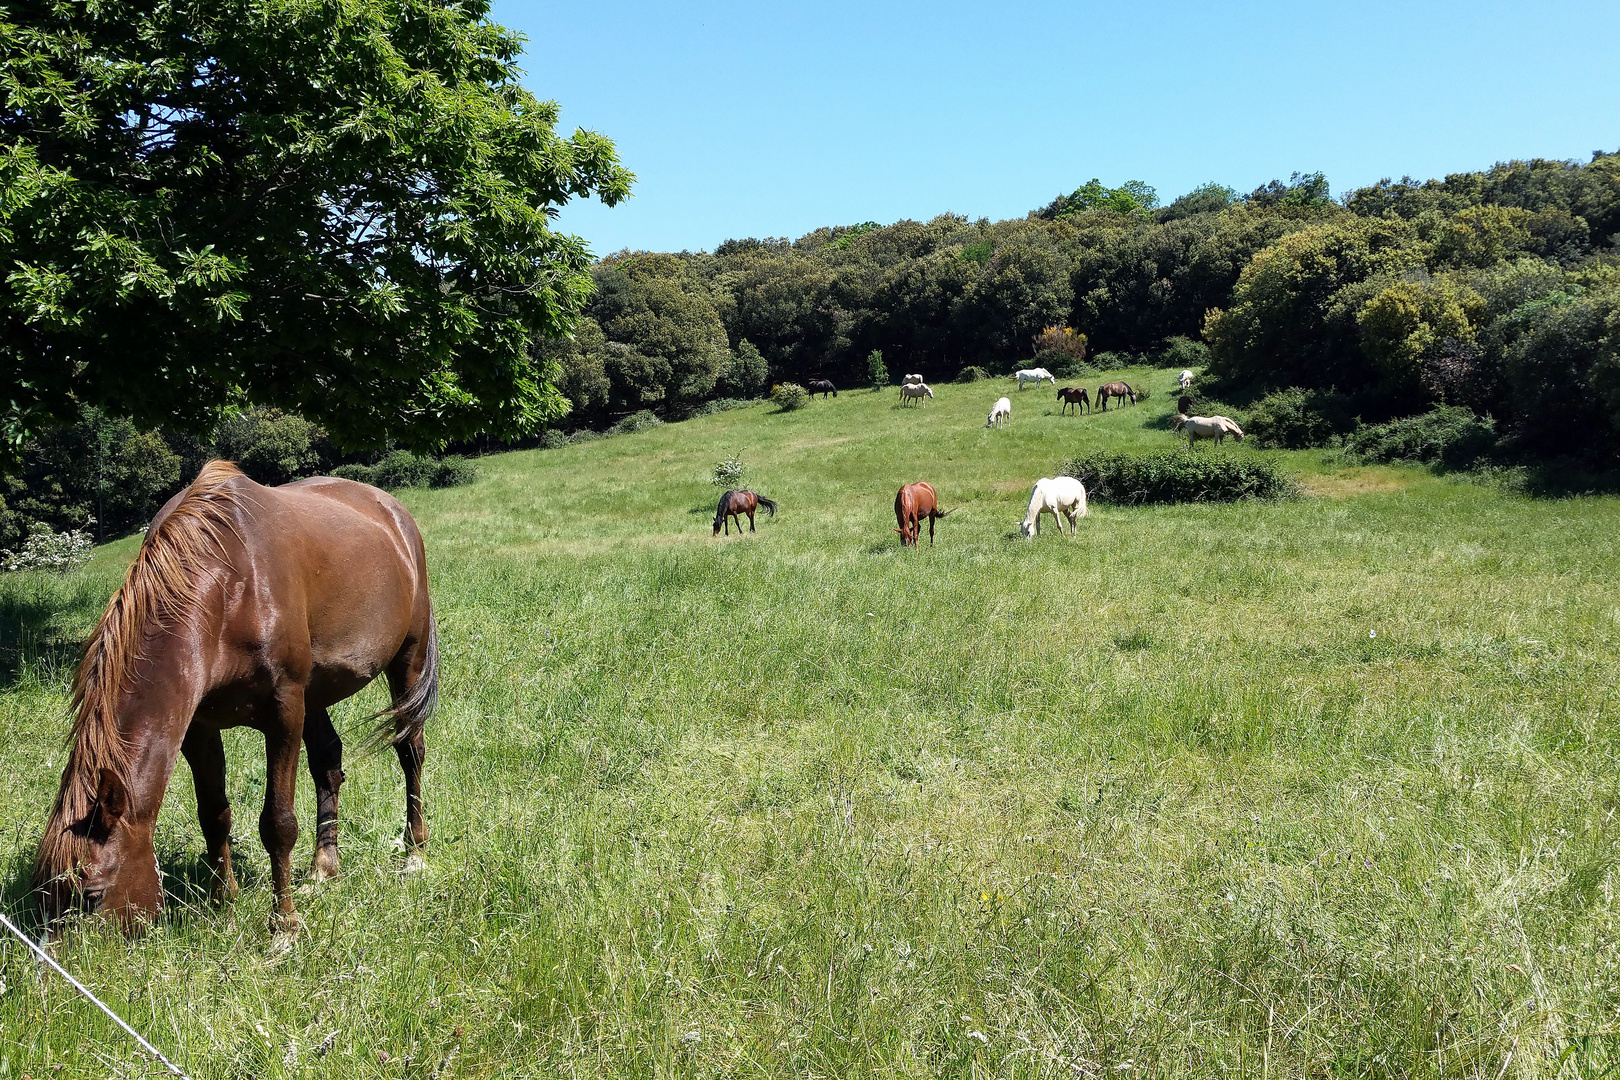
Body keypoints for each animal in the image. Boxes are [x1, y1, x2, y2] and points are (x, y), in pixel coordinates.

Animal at [34, 459, 437, 939]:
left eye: (92, 894)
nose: (53, 963)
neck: (227, 589)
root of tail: (393, 510)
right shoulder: (199, 728)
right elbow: (214, 814)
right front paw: (223, 904)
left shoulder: (284, 712)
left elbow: (277, 824)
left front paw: (283, 926)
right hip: (316, 693)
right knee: (328, 762)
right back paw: (323, 867)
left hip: (407, 661)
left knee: (410, 751)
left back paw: (414, 854)